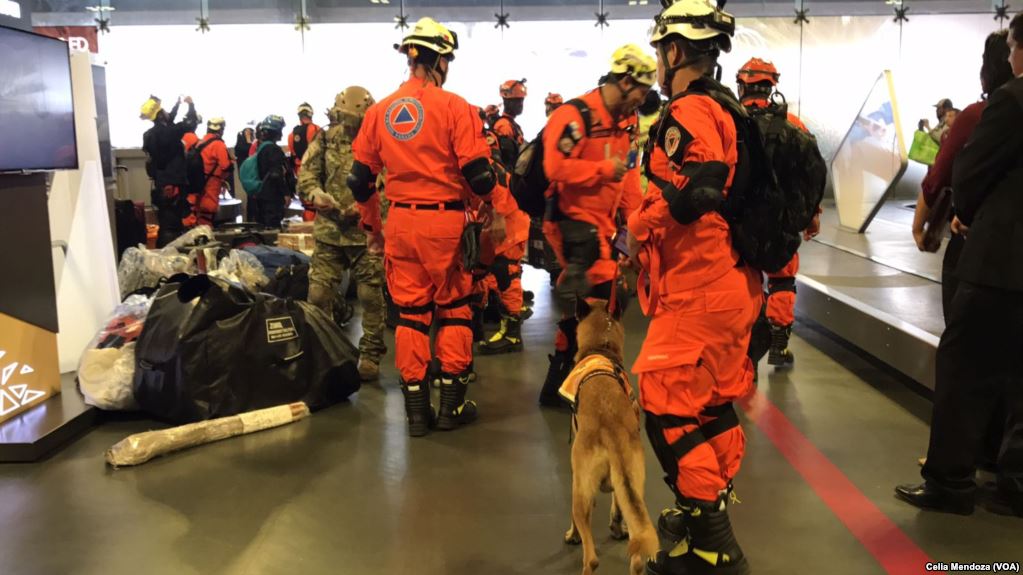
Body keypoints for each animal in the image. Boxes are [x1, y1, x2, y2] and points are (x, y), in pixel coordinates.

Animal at [564, 296, 658, 568]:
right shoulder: (622, 487)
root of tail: (611, 433)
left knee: (591, 558)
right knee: (637, 557)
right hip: (635, 488)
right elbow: (617, 505)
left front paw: (572, 535)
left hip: (581, 494)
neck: (601, 347)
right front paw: (616, 527)